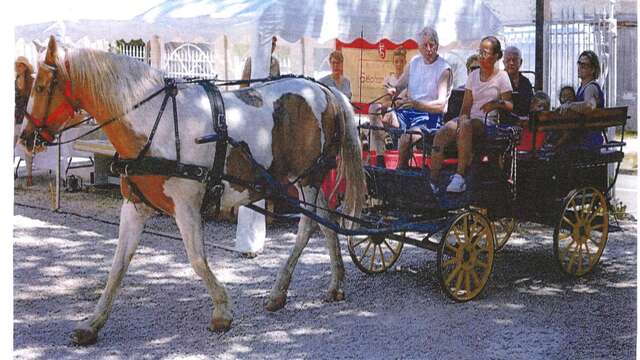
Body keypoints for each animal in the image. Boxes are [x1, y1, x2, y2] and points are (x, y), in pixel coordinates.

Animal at [22, 36, 364, 346]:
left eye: (41, 87)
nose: (26, 137)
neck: (154, 121)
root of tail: (323, 90)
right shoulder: (134, 206)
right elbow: (117, 267)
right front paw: (92, 324)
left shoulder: (186, 206)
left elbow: (197, 259)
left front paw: (222, 311)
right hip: (310, 182)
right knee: (327, 222)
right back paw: (334, 283)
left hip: (307, 179)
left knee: (308, 226)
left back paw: (279, 291)